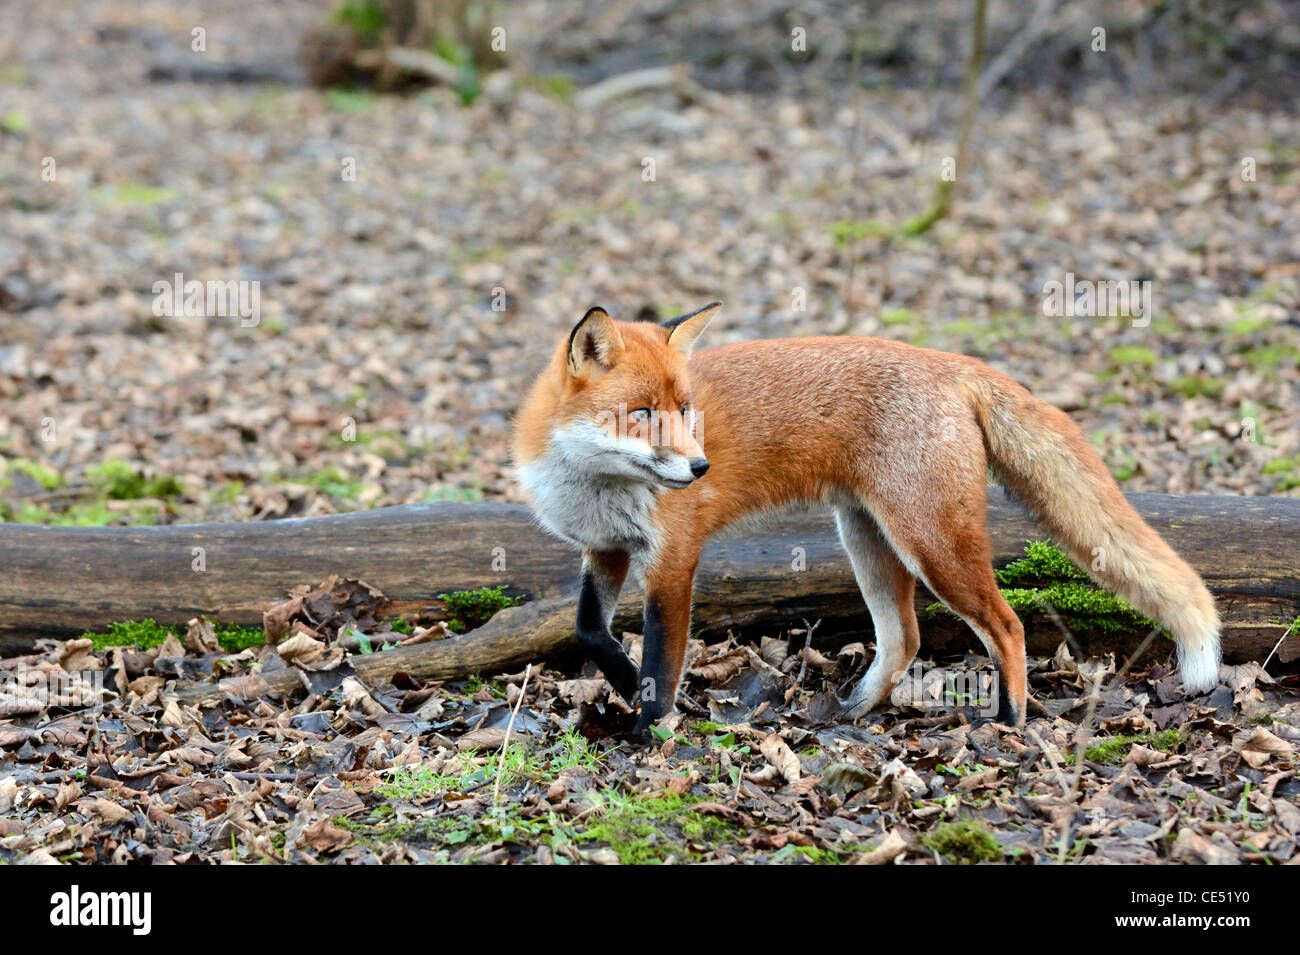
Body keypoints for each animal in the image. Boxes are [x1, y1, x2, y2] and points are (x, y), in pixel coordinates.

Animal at [513, 301, 1221, 736]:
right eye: (640, 414)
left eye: (685, 411)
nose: (700, 468)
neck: (593, 485)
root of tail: (950, 361)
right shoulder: (605, 548)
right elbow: (588, 629)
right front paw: (624, 683)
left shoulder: (674, 558)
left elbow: (662, 659)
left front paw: (649, 729)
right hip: (867, 539)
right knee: (905, 638)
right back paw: (855, 709)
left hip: (931, 545)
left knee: (1009, 626)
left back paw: (1011, 722)